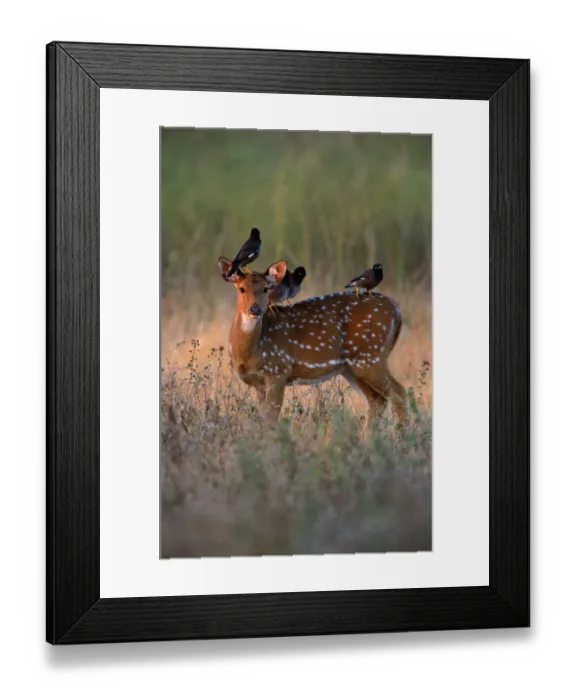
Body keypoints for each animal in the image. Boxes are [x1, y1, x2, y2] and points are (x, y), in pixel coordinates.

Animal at [218, 256, 407, 431]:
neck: (249, 353)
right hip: (353, 367)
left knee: (399, 394)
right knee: (378, 400)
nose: (255, 309)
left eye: (266, 288)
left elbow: (270, 419)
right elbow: (263, 418)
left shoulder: (278, 370)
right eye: (242, 289)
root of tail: (396, 309)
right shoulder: (259, 383)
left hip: (369, 357)